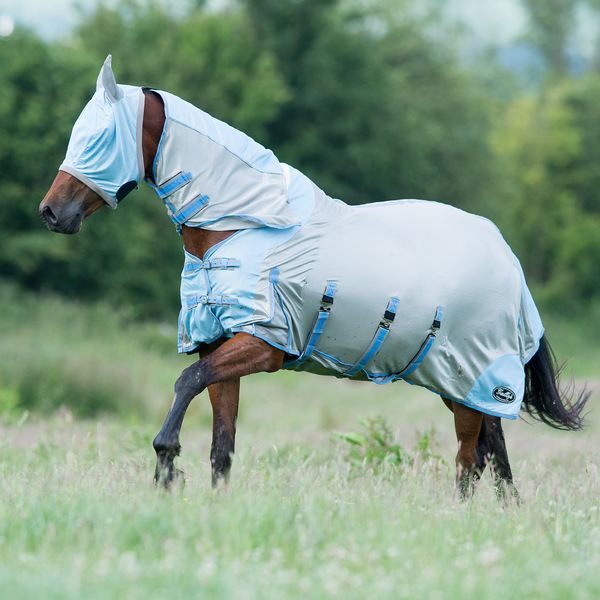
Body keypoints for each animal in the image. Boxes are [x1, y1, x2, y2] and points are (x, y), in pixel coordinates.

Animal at [39, 56, 588, 500]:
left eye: (98, 139)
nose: (51, 212)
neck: (238, 225)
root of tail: (508, 261)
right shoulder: (218, 347)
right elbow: (221, 444)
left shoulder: (261, 345)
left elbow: (185, 383)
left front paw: (166, 465)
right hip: (464, 383)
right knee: (494, 456)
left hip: (473, 378)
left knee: (470, 460)